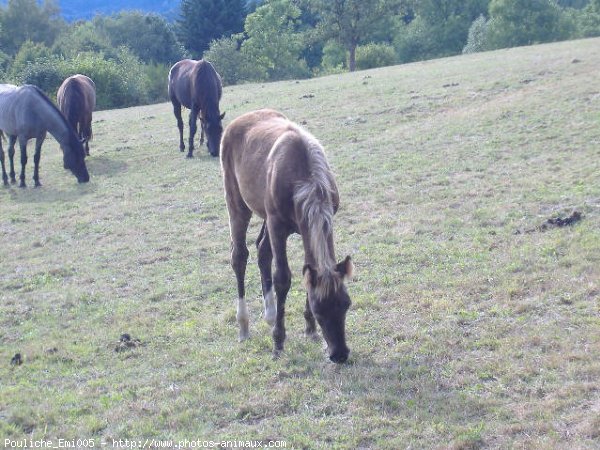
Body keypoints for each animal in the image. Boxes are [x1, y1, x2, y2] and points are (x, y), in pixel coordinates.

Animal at [219, 110, 352, 364]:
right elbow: (282, 278)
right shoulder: (277, 225)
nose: (339, 354)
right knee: (239, 257)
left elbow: (308, 269)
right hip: (237, 202)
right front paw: (278, 341)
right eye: (319, 310)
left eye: (346, 305)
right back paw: (244, 325)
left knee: (262, 250)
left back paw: (270, 314)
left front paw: (309, 329)